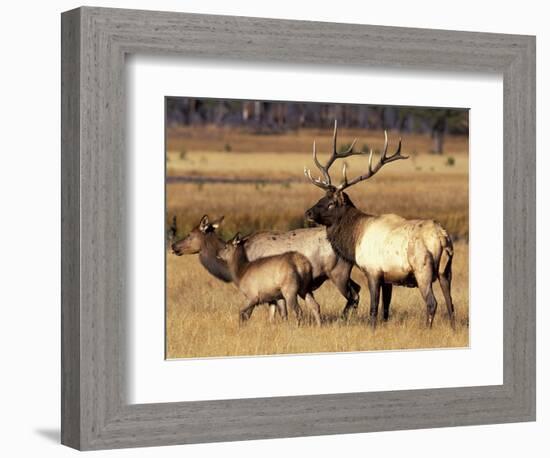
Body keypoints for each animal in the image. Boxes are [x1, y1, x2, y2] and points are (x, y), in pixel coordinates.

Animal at [306, 121, 458, 330]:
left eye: (331, 203)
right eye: (321, 197)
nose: (308, 213)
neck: (355, 238)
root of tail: (442, 237)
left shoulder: (373, 271)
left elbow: (373, 308)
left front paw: (372, 329)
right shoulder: (388, 278)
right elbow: (386, 310)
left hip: (423, 268)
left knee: (432, 303)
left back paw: (427, 329)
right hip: (446, 270)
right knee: (450, 303)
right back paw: (453, 329)